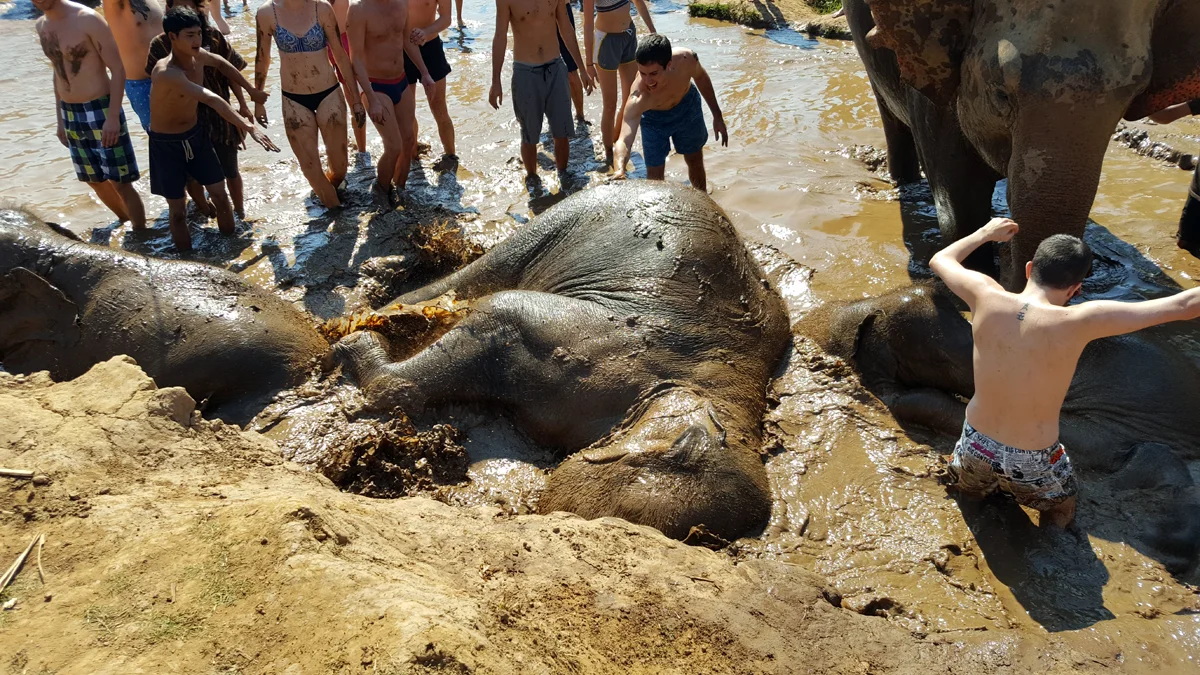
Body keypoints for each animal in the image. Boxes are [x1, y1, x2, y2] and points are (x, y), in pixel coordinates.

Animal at [332, 183, 791, 542]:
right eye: (680, 451)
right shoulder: (594, 343)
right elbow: (501, 309)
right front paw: (359, 341)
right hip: (564, 220)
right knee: (482, 273)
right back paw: (362, 314)